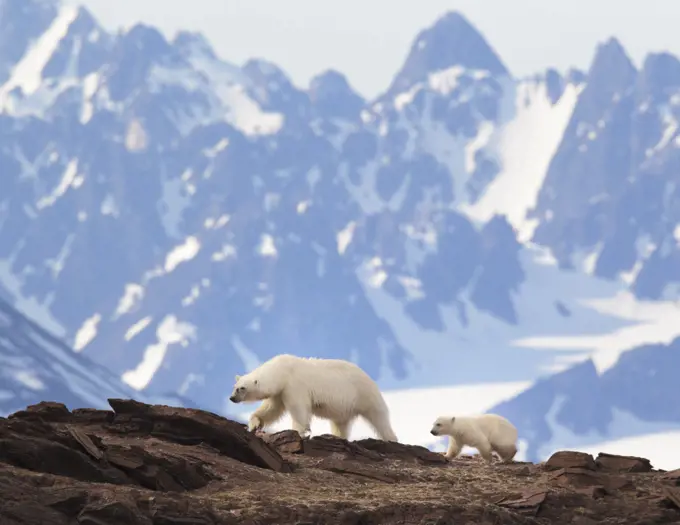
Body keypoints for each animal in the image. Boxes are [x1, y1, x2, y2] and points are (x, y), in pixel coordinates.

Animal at [230, 352, 398, 442]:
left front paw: (299, 431)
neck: (282, 370)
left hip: (364, 395)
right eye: (234, 387)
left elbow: (298, 409)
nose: (232, 398)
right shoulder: (280, 391)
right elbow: (271, 409)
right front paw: (254, 424)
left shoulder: (294, 385)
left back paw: (391, 438)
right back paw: (337, 436)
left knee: (379, 418)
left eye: (242, 388)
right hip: (345, 407)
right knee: (340, 424)